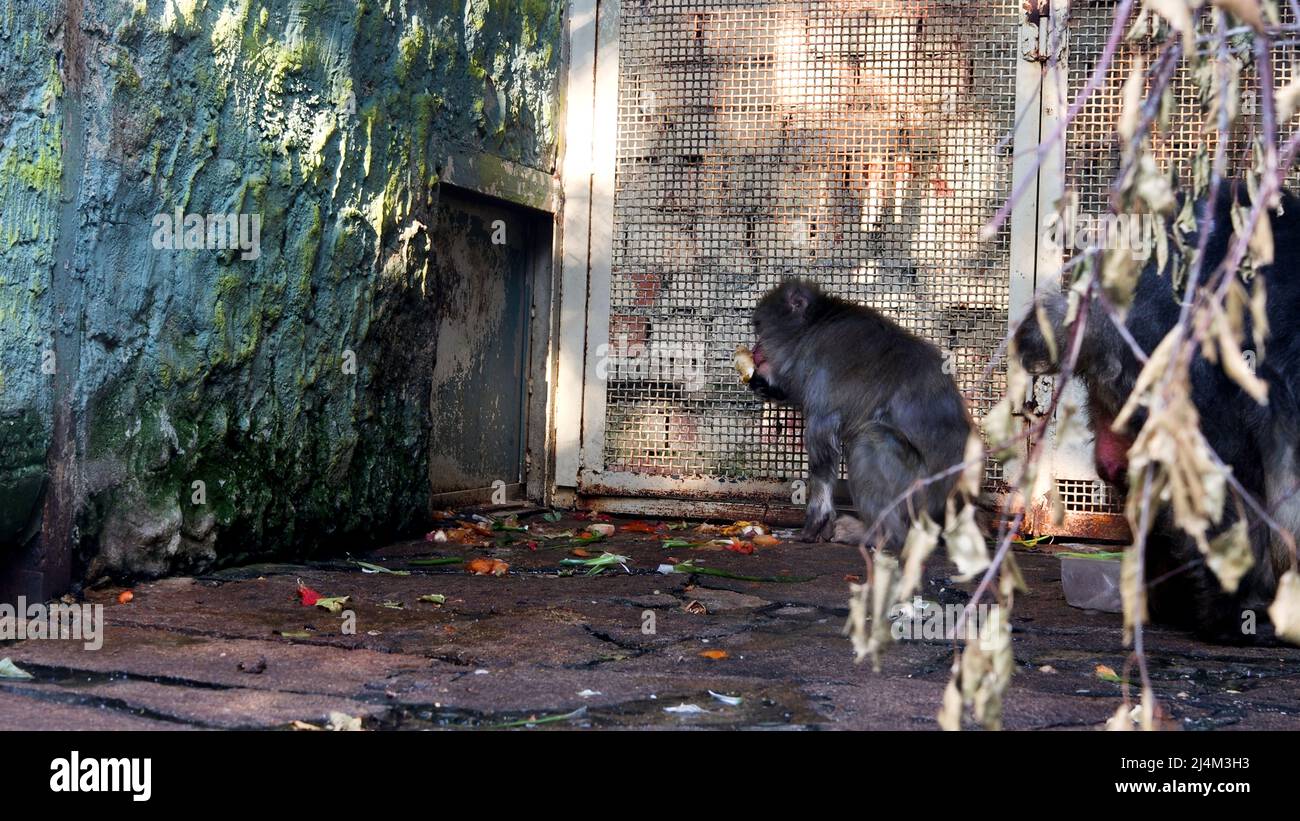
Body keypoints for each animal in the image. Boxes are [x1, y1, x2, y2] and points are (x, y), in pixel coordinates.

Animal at [754, 277, 977, 550]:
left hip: (916, 495)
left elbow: (823, 440)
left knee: (872, 440)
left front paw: (818, 516)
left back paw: (878, 536)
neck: (812, 328)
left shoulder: (822, 364)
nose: (754, 350)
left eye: (759, 328)